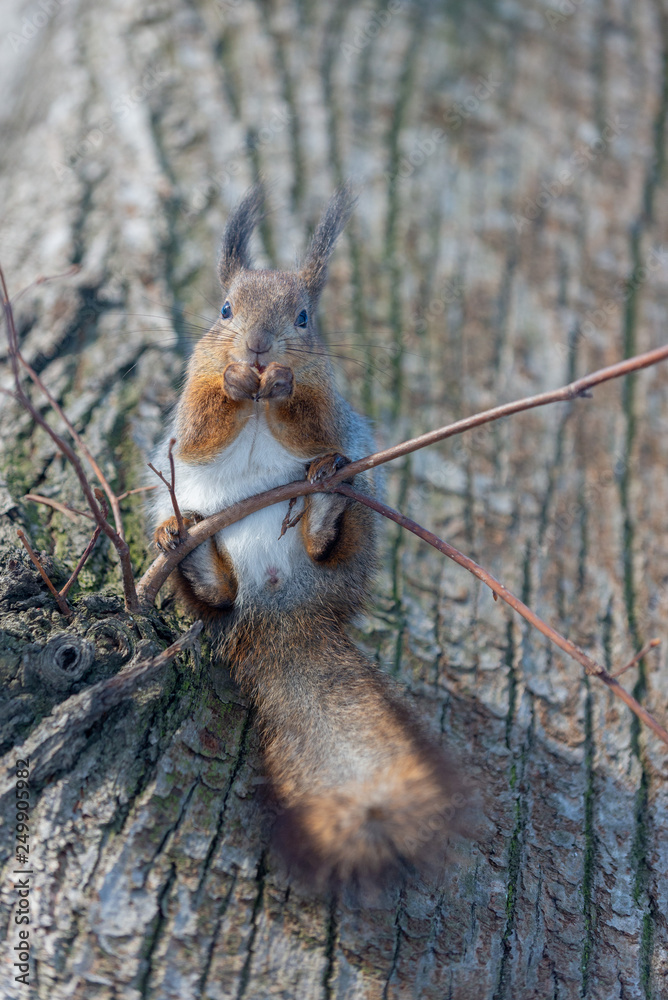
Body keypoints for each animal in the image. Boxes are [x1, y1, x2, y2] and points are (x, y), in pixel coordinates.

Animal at [150, 185, 464, 886]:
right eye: (226, 309)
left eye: (302, 318)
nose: (258, 350)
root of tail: (281, 600)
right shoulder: (189, 409)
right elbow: (201, 429)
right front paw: (235, 381)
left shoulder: (329, 407)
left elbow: (312, 422)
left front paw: (282, 385)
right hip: (204, 561)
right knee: (214, 599)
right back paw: (188, 545)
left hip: (360, 519)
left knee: (332, 541)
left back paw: (321, 509)